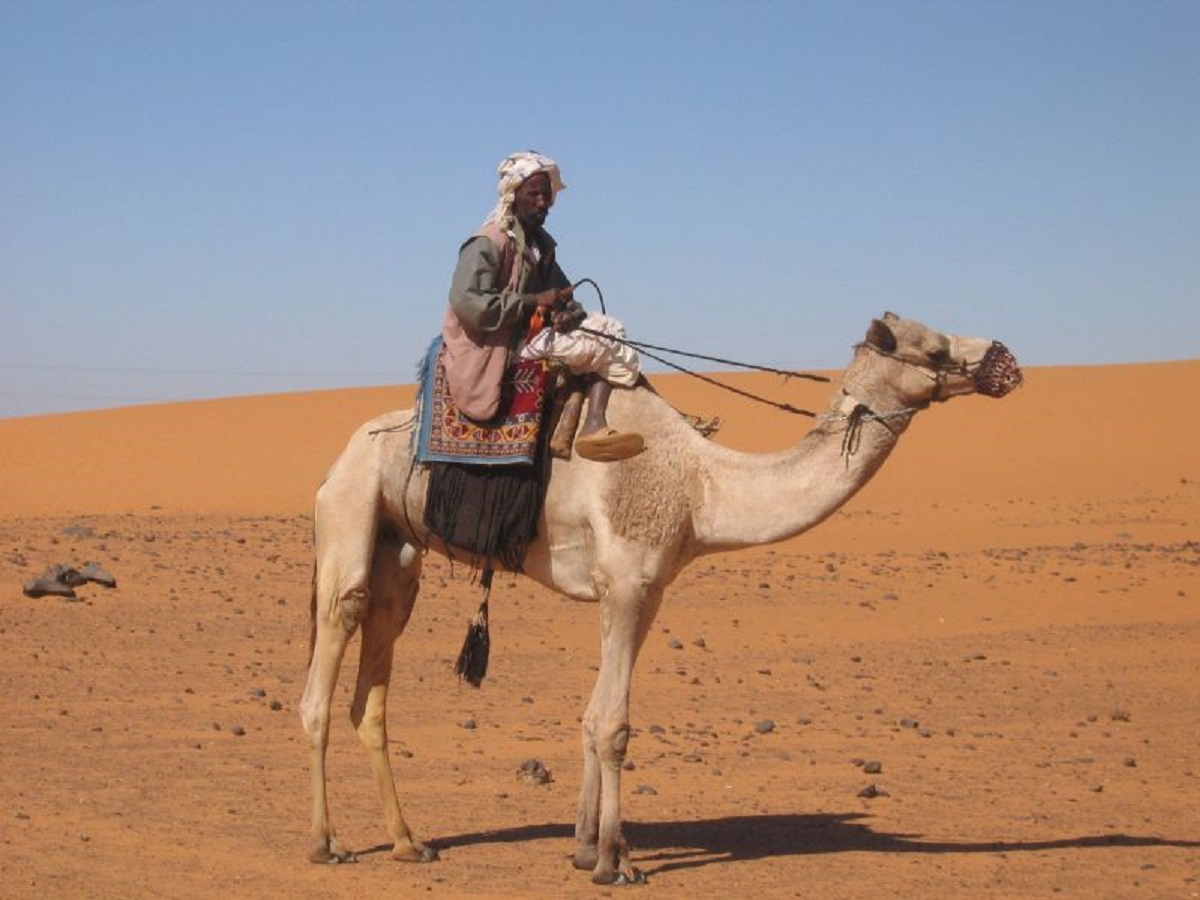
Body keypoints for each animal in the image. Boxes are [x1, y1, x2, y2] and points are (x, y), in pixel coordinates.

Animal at [299, 311, 1022, 884]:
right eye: (932, 348)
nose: (1006, 360)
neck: (700, 488)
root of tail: (333, 464)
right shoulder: (627, 579)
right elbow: (613, 725)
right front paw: (615, 863)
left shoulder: (642, 593)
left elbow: (593, 717)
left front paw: (586, 848)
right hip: (351, 515)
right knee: (324, 676)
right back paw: (327, 844)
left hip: (400, 556)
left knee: (372, 691)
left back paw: (408, 843)